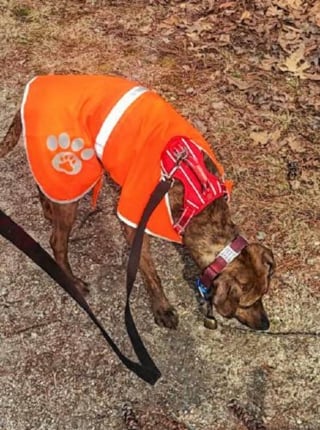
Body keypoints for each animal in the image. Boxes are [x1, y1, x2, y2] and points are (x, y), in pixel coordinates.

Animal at [0, 110, 276, 330]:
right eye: (247, 303)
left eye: (264, 294)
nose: (265, 324)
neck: (200, 198)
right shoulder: (134, 226)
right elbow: (151, 274)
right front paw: (162, 308)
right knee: (57, 241)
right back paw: (73, 281)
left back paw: (47, 208)